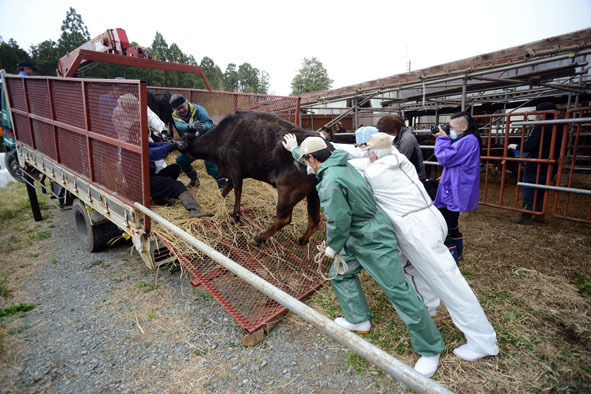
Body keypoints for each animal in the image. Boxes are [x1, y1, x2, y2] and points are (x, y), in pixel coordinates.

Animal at [180, 111, 324, 245]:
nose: (176, 143)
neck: (224, 135)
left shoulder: (236, 170)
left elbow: (237, 191)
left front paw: (236, 216)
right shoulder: (233, 173)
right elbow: (226, 189)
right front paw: (220, 200)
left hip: (288, 192)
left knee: (285, 219)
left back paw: (259, 238)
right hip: (313, 194)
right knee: (314, 220)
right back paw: (302, 240)